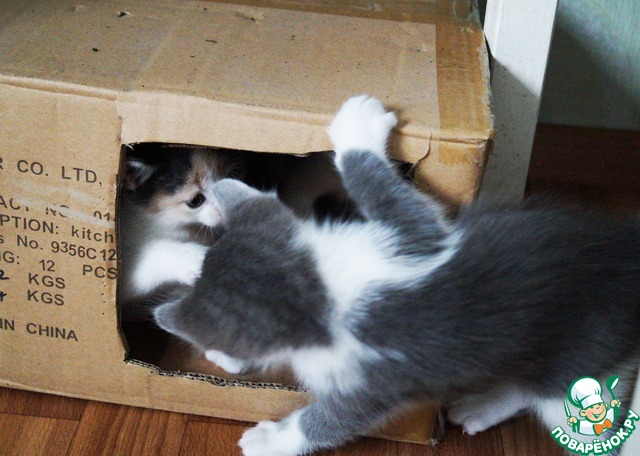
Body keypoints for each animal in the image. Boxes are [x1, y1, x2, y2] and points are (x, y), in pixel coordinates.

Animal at [152, 96, 640, 456]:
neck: (326, 291)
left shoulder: (379, 371)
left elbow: (333, 418)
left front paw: (273, 438)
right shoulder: (416, 236)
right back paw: (482, 405)